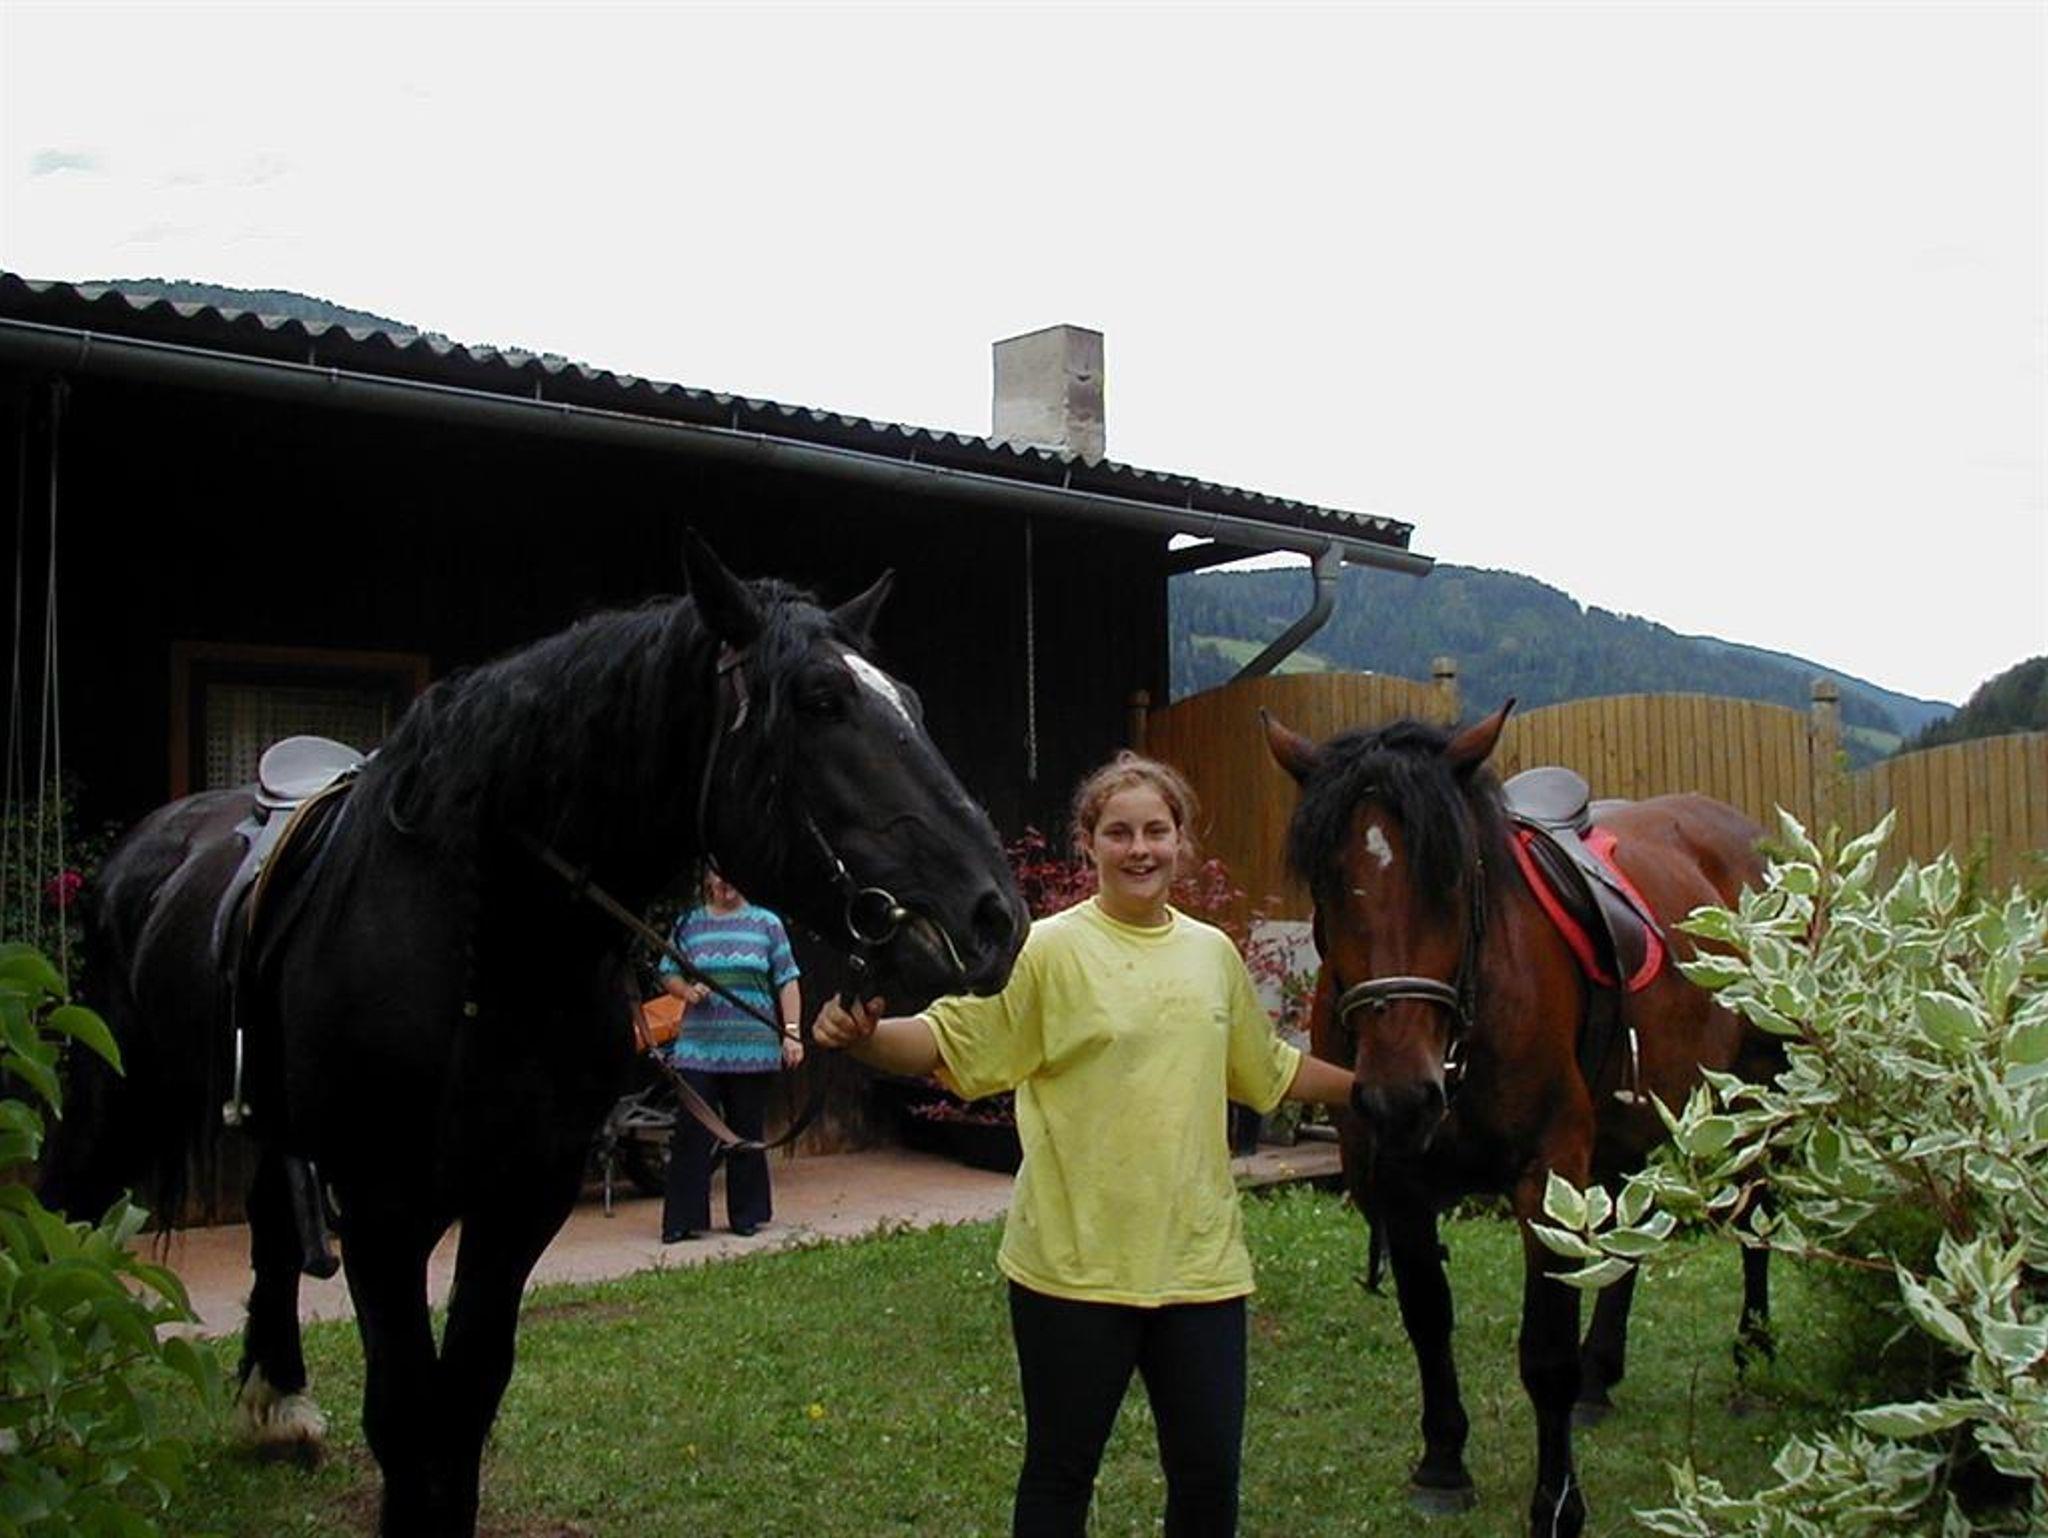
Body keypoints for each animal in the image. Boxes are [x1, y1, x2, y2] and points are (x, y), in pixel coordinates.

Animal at [40, 533, 1027, 1537]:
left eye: (909, 704)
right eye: (821, 701)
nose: (995, 916)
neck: (485, 948)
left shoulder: (522, 1197)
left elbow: (467, 1402)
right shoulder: (385, 1209)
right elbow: (406, 1415)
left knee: (272, 1224)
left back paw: (275, 1405)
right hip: (117, 1092)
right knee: (61, 1213)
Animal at [1262, 702, 1779, 1538]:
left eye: (1455, 876)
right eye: (1329, 883)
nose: (1402, 1093)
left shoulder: (1548, 1170)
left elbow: (1545, 1353)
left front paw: (1558, 1503)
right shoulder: (1399, 1177)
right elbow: (1427, 1317)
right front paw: (1443, 1463)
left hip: (1752, 1097)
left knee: (1756, 1216)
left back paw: (1752, 1363)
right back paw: (1604, 1379)